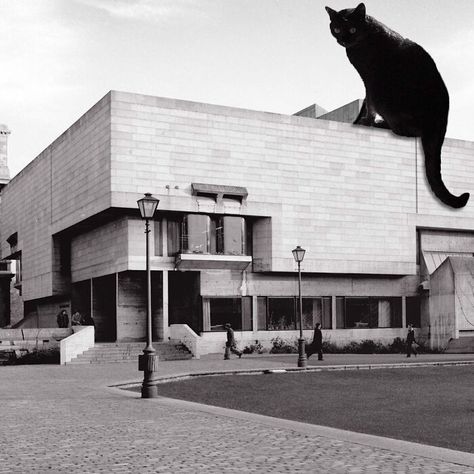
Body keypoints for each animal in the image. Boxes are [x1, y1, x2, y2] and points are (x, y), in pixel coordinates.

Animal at [324, 3, 468, 207]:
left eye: (352, 29)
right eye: (336, 29)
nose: (343, 40)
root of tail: (439, 126)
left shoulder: (369, 80)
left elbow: (368, 103)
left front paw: (364, 122)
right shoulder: (367, 82)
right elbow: (364, 103)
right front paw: (357, 121)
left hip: (385, 98)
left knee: (404, 131)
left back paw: (379, 125)